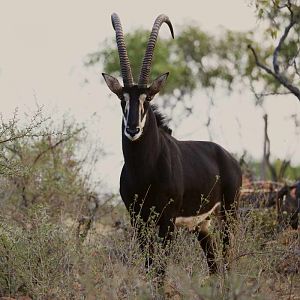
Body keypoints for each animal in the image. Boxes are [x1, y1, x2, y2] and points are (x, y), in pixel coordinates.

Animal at [102, 13, 243, 276]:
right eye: (122, 99)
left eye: (148, 98)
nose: (133, 129)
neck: (143, 170)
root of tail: (228, 157)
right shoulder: (138, 220)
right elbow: (150, 267)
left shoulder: (167, 222)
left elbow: (160, 269)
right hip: (202, 224)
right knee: (213, 264)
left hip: (229, 213)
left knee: (227, 259)